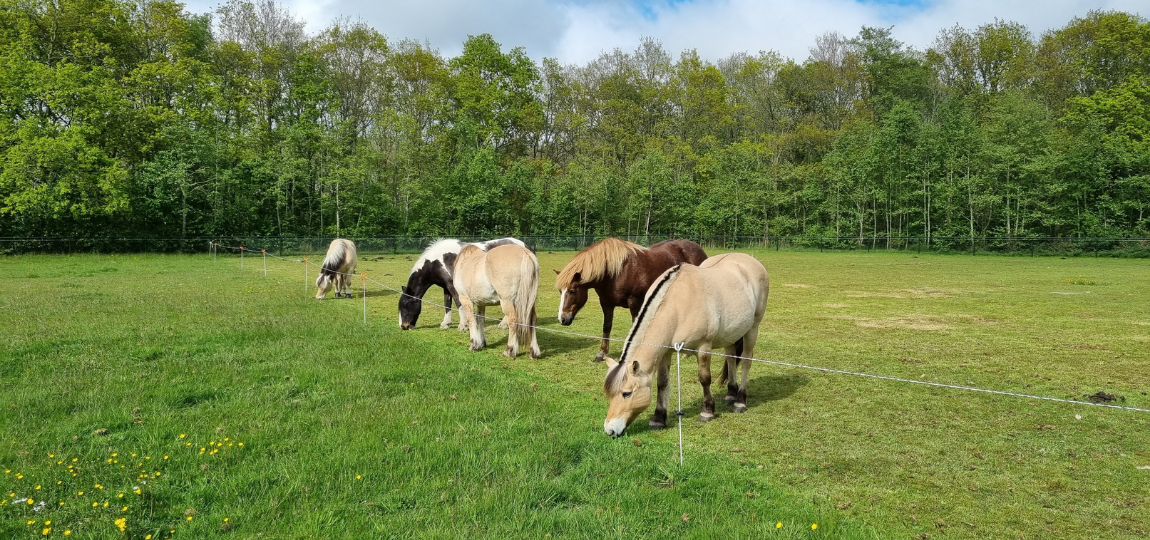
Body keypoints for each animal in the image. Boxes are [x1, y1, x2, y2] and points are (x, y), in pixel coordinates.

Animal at [555, 238, 707, 361]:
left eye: (572, 291)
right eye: (560, 291)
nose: (562, 319)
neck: (615, 273)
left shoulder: (635, 302)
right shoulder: (606, 303)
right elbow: (607, 326)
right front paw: (601, 354)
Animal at [601, 252, 769, 438]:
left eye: (626, 393)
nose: (610, 430)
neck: (678, 305)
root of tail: (750, 259)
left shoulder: (704, 348)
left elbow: (704, 379)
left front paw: (707, 411)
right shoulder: (666, 352)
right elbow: (662, 383)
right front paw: (658, 419)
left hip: (753, 328)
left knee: (746, 361)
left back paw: (740, 401)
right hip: (731, 333)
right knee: (731, 358)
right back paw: (731, 394)